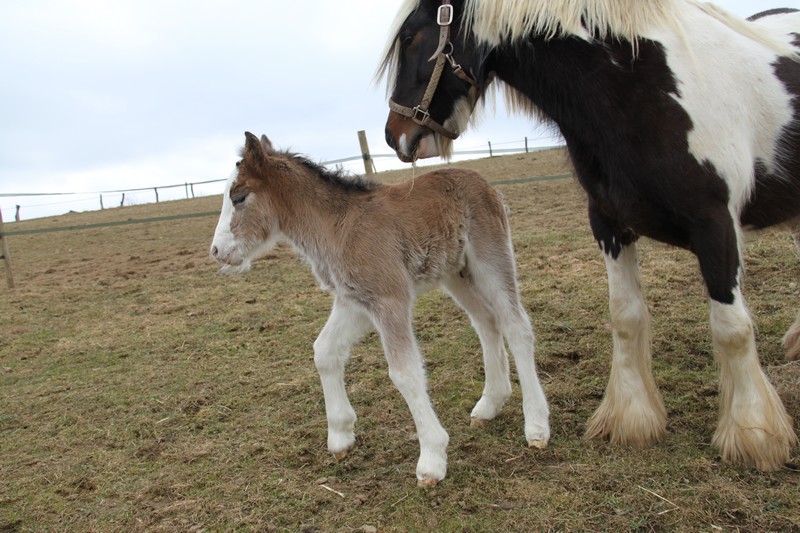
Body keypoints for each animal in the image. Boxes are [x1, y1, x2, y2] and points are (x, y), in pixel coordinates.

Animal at [211, 131, 552, 484]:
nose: (217, 251)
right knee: (487, 322)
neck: (336, 228)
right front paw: (340, 435)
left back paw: (536, 426)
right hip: (455, 274)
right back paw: (489, 404)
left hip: (490, 260)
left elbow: (404, 373)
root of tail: (483, 182)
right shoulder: (354, 301)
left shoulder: (389, 299)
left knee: (516, 326)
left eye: (239, 197)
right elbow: (324, 352)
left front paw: (431, 458)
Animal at [380, 1, 800, 474]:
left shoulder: (716, 226)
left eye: (410, 38)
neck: (642, 87)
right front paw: (632, 418)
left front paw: (753, 434)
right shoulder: (609, 224)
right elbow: (626, 317)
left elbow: (732, 329)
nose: (394, 136)